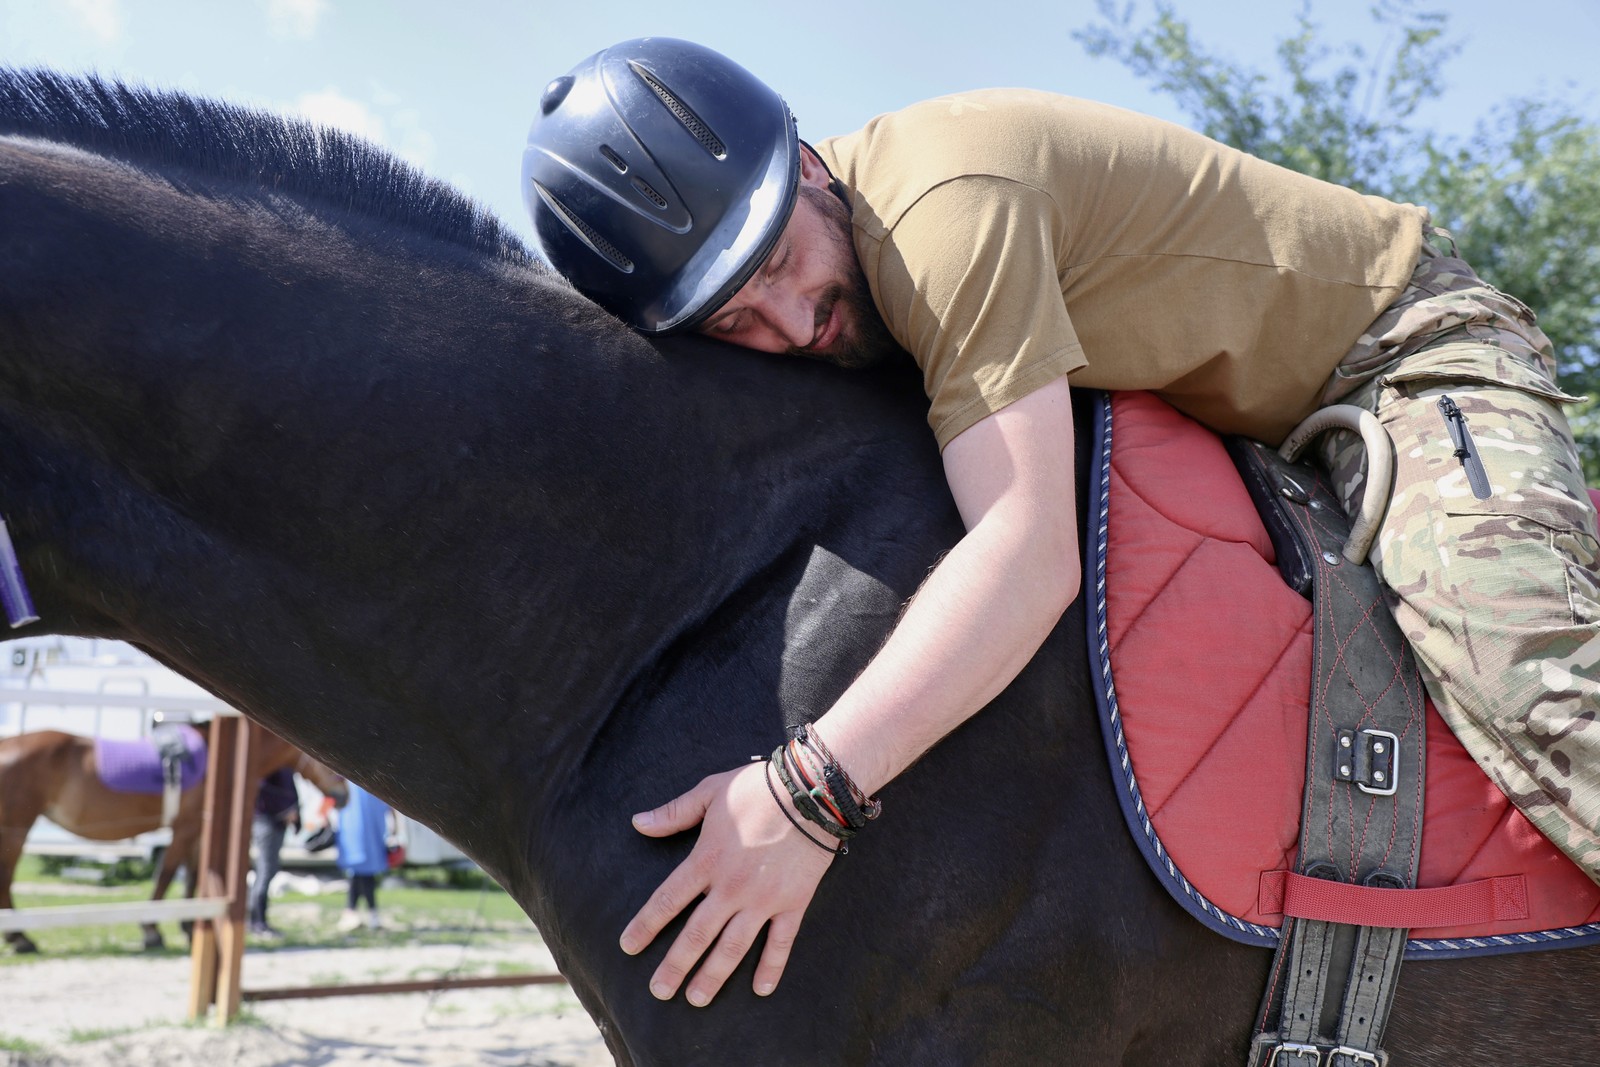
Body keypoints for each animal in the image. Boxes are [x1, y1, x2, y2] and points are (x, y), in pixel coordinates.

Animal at [0, 725, 347, 952]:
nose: (344, 797)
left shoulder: (199, 831)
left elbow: (192, 877)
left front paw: (189, 929)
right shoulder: (186, 827)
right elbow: (167, 874)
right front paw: (152, 932)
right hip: (16, 827)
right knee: (7, 880)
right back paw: (20, 938)